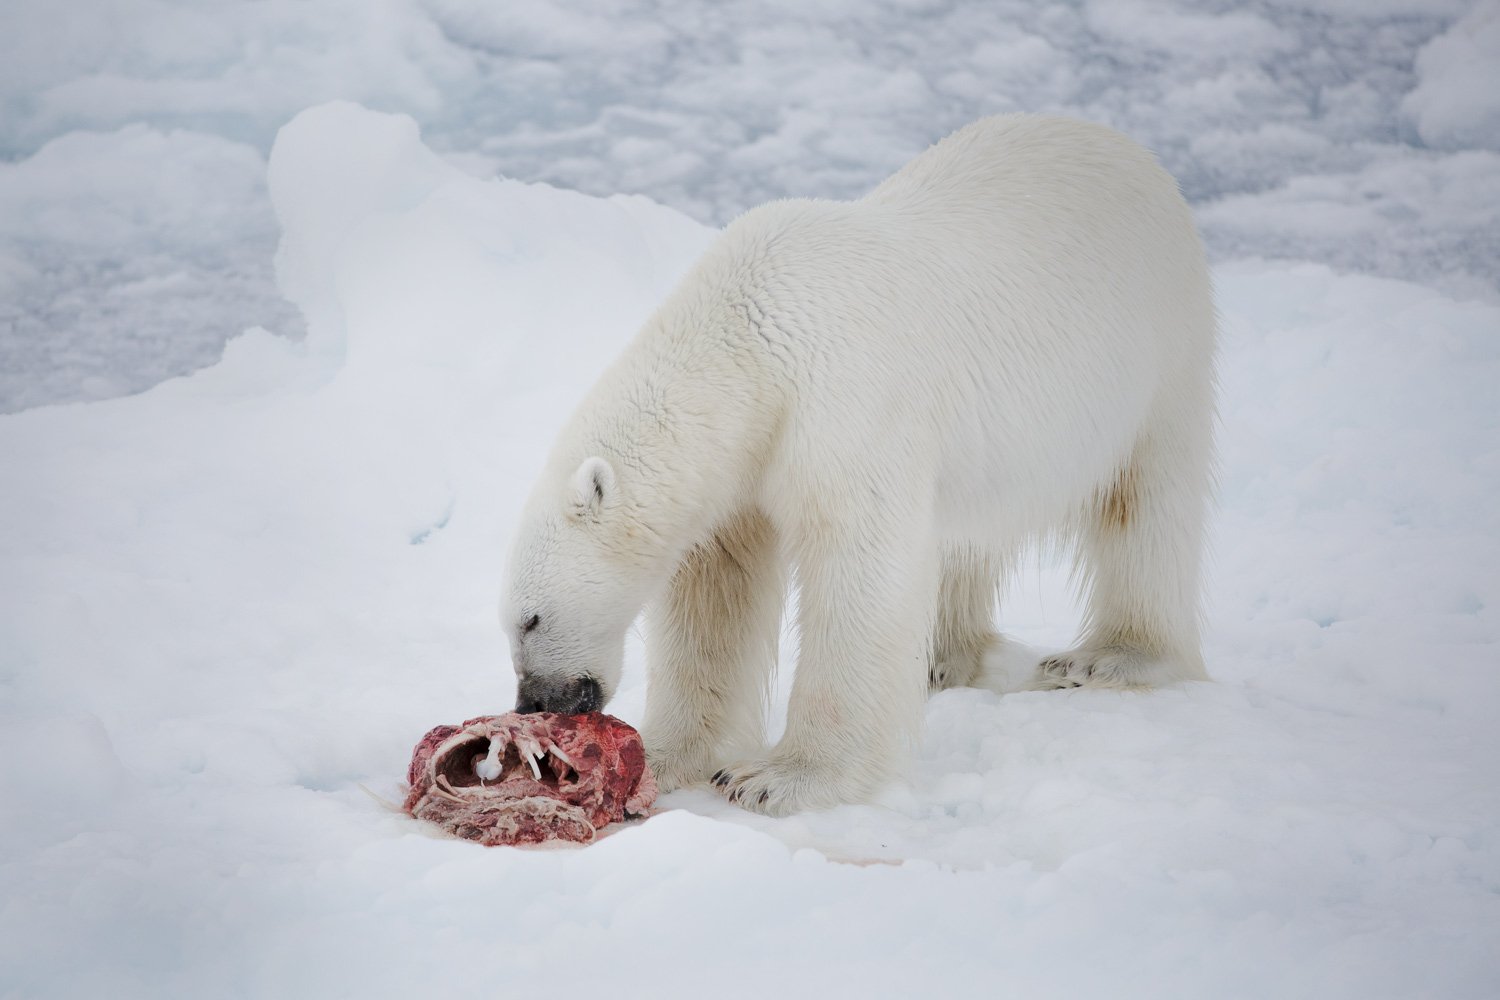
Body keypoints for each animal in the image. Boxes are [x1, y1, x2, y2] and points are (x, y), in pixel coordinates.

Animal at [504, 115, 1218, 815]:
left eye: (529, 618)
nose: (531, 702)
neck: (750, 341)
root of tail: (1126, 148)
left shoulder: (843, 404)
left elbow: (858, 567)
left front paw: (777, 779)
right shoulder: (745, 464)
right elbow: (717, 597)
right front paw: (666, 758)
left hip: (1159, 350)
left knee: (1149, 502)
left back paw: (1108, 659)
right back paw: (943, 659)